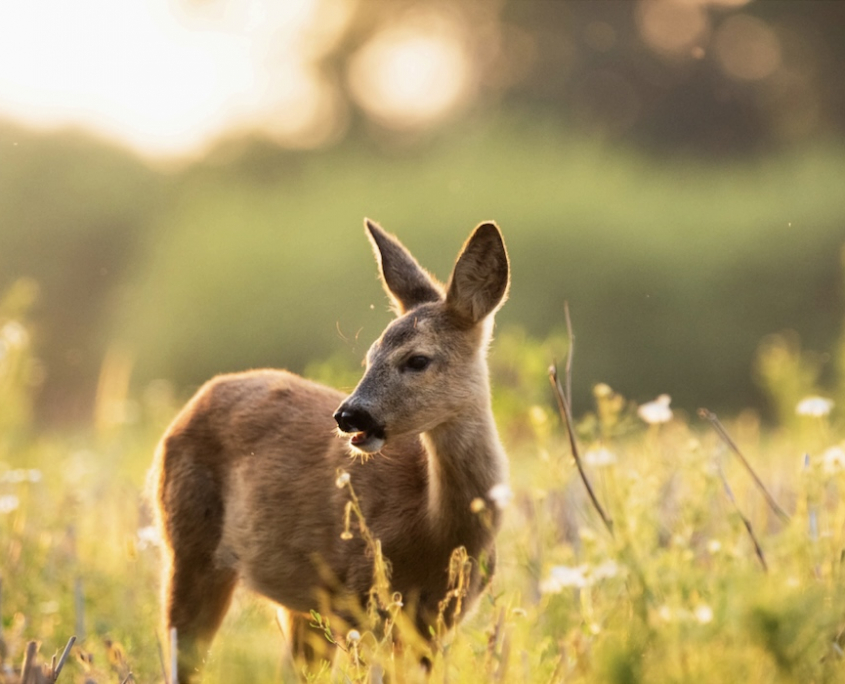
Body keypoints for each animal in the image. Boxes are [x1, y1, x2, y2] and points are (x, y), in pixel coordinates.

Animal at [150, 219, 511, 682]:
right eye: (370, 355)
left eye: (417, 360)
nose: (349, 415)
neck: (434, 532)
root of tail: (193, 401)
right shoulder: (362, 601)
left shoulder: (435, 625)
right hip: (188, 546)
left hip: (301, 606)